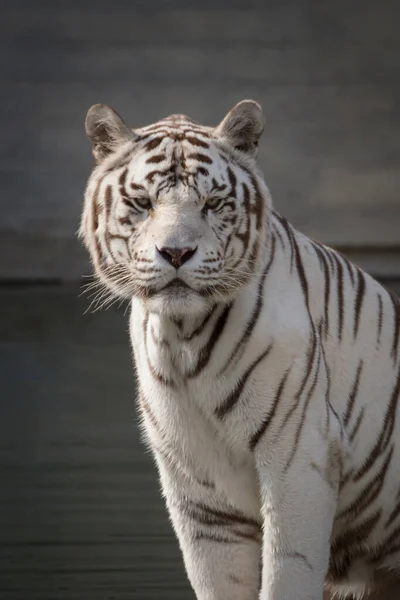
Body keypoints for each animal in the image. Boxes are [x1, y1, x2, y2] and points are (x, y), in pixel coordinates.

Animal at [79, 101, 400, 596]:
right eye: (143, 204)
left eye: (211, 204)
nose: (176, 253)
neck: (183, 337)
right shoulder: (197, 487)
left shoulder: (299, 454)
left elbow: (288, 571)